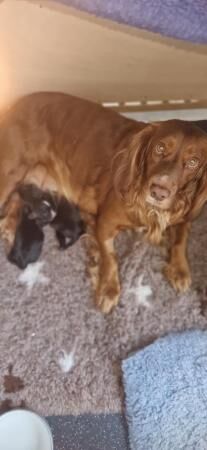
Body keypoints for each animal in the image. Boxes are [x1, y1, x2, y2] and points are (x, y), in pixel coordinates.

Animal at [0, 92, 207, 312]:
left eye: (193, 162)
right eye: (159, 148)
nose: (159, 192)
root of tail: (16, 103)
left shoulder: (186, 215)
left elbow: (181, 239)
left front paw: (180, 270)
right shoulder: (106, 223)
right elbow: (111, 256)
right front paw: (108, 289)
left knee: (17, 197)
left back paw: (11, 225)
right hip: (10, 172)